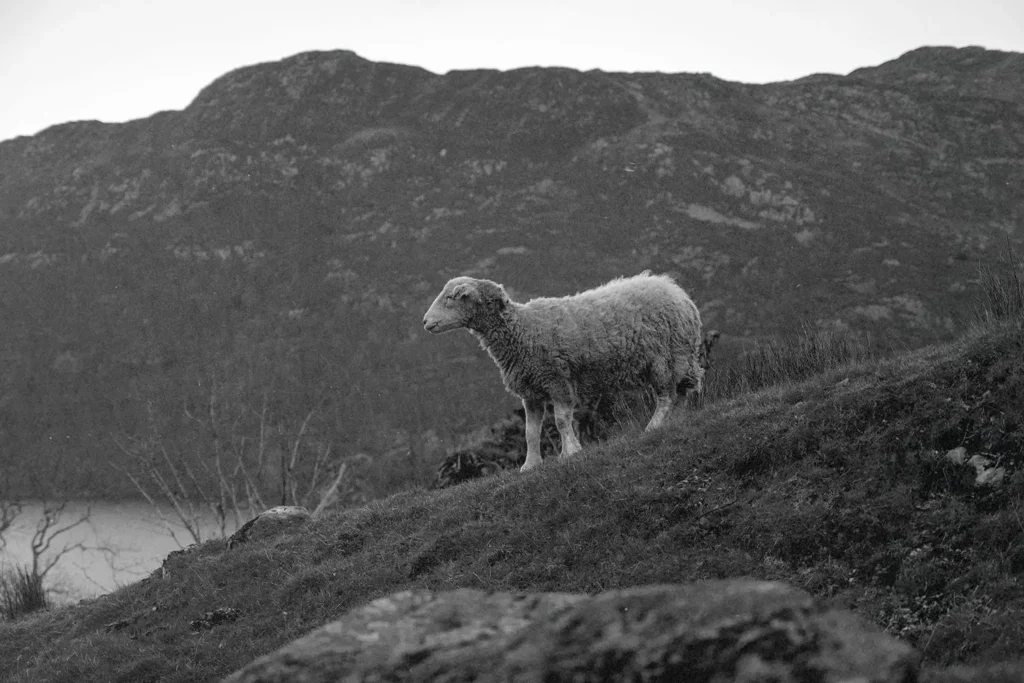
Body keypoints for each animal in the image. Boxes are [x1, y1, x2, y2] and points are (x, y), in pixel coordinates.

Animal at [423, 272, 704, 472]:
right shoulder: (531, 392)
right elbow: (530, 432)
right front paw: (530, 465)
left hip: (664, 358)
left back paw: (654, 426)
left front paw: (570, 451)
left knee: (666, 396)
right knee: (683, 392)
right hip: (677, 358)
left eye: (450, 297)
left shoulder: (557, 380)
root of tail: (677, 292)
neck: (522, 330)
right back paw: (679, 419)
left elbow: (560, 420)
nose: (425, 322)